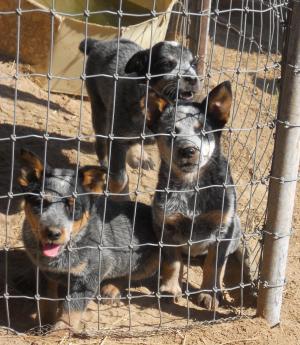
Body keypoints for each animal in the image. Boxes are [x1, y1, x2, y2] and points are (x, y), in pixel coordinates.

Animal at [18, 149, 159, 330]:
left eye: (73, 207)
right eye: (40, 203)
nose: (53, 233)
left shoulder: (93, 272)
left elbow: (72, 310)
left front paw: (60, 331)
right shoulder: (45, 272)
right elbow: (45, 301)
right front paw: (45, 326)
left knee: (127, 273)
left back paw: (112, 289)